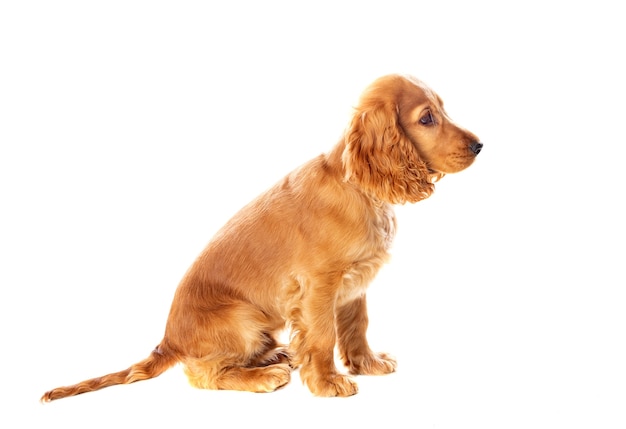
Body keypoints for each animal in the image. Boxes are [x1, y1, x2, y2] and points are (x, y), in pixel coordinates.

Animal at [42, 72, 482, 398]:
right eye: (427, 118)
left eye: (444, 109)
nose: (480, 145)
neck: (360, 188)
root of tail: (168, 341)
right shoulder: (318, 285)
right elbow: (323, 336)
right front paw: (327, 382)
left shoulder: (354, 284)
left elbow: (356, 327)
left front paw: (368, 364)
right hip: (243, 317)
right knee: (204, 373)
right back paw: (263, 375)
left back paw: (276, 357)